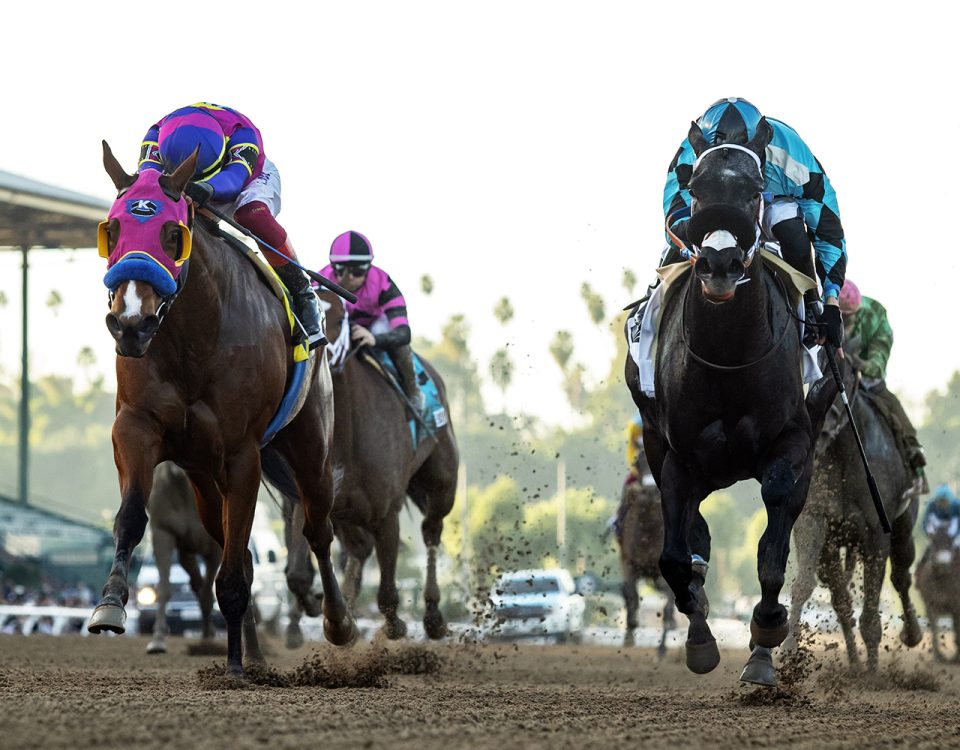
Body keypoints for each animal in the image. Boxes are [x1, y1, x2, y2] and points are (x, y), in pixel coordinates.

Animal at [143, 462, 220, 656]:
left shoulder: (216, 547)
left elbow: (210, 591)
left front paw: (208, 641)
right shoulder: (163, 533)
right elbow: (163, 588)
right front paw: (158, 640)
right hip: (186, 551)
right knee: (195, 581)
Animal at [628, 120, 836, 692]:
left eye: (752, 188)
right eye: (695, 188)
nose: (719, 262)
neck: (729, 357)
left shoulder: (791, 444)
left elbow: (772, 552)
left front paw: (765, 635)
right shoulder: (677, 460)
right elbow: (675, 559)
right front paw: (700, 641)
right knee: (693, 538)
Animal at [788, 350, 924, 672]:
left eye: (844, 379)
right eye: (809, 375)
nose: (820, 427)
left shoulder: (876, 534)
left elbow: (872, 612)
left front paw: (872, 671)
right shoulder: (814, 523)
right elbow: (806, 586)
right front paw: (786, 648)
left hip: (903, 531)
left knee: (901, 576)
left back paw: (911, 634)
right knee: (842, 602)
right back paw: (853, 662)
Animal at [916, 528, 960, 664]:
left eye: (950, 544)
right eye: (933, 544)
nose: (943, 563)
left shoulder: (955, 605)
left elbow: (957, 627)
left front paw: (956, 658)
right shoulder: (930, 604)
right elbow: (934, 629)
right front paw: (938, 657)